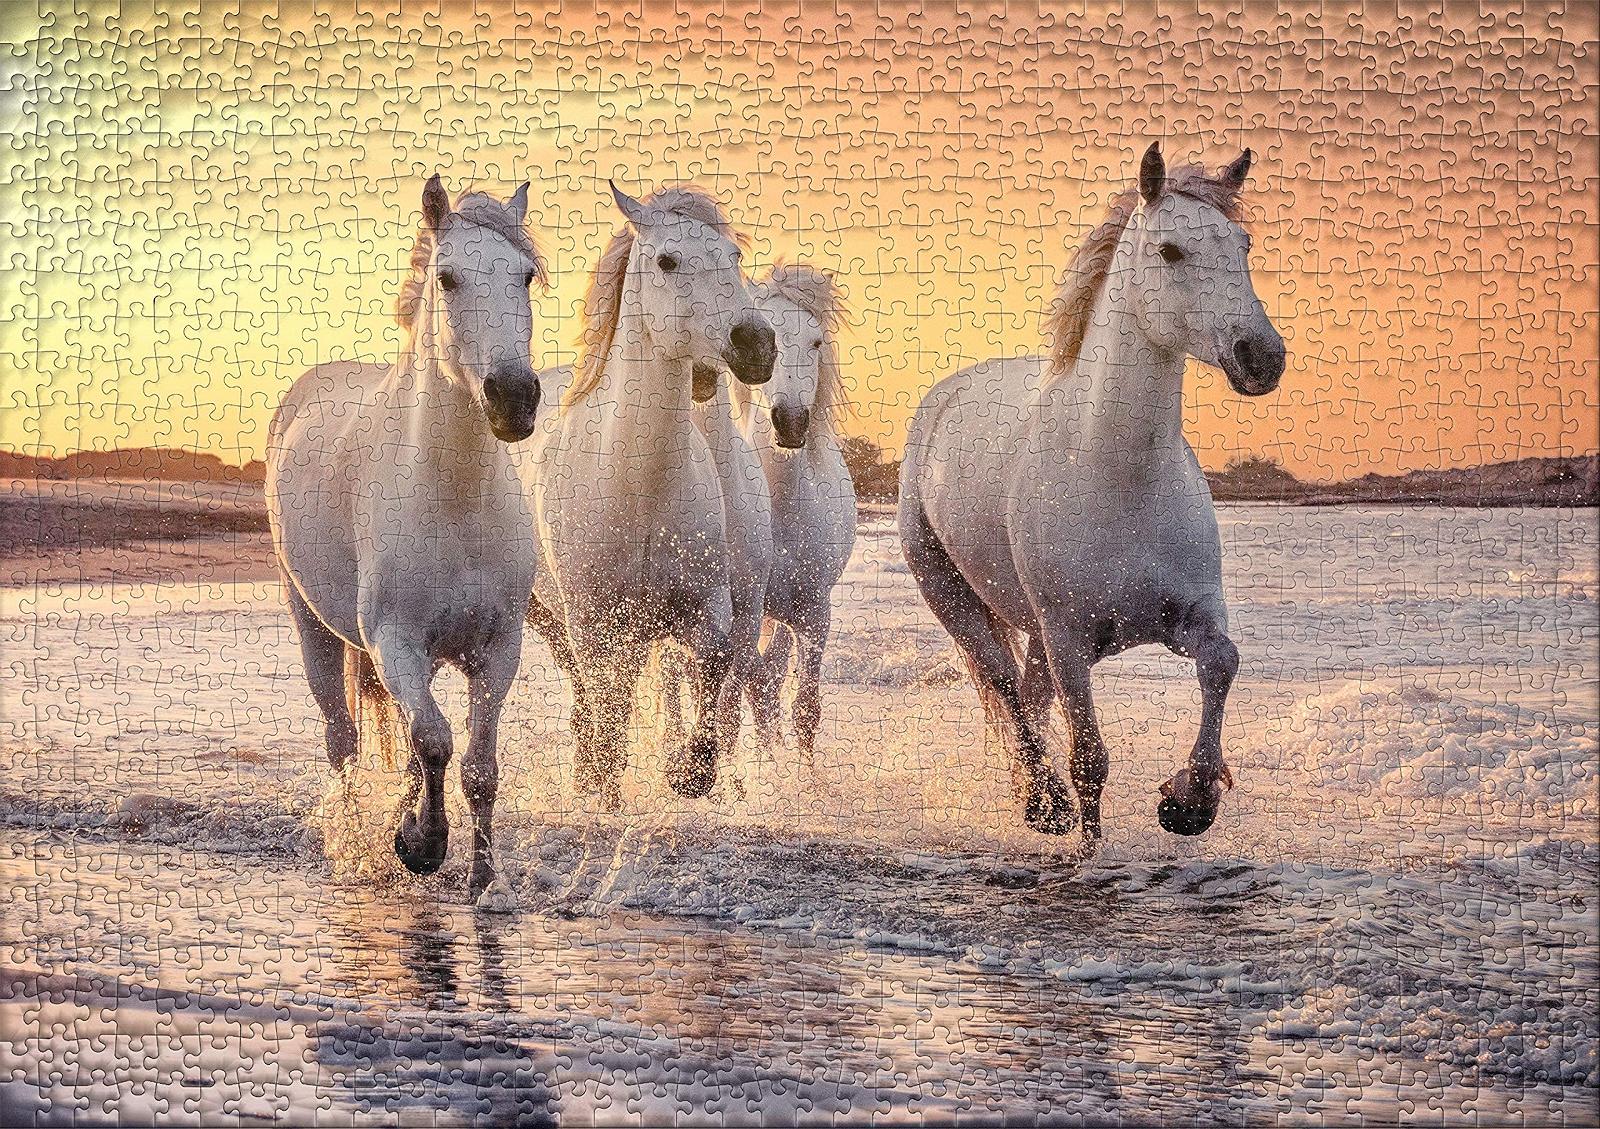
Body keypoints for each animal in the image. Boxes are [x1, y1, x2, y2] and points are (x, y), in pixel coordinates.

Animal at [266, 176, 547, 901]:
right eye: (447, 277)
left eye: (526, 275)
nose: (513, 397)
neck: (452, 496)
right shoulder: (394, 641)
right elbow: (435, 741)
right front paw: (420, 843)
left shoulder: (497, 650)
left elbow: (476, 764)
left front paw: (482, 879)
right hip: (314, 627)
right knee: (343, 742)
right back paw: (358, 844)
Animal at [524, 182, 776, 811]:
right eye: (667, 261)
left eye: (734, 256)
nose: (757, 344)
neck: (638, 485)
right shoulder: (593, 622)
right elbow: (608, 709)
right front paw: (608, 790)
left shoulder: (708, 610)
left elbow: (710, 684)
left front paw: (687, 772)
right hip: (553, 619)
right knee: (588, 696)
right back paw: (589, 778)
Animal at [898, 144, 1286, 842]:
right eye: (1169, 251)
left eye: (1243, 243)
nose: (1261, 356)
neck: (1118, 477)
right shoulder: (1070, 640)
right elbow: (1090, 761)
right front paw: (1090, 842)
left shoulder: (1189, 616)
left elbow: (1223, 662)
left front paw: (1189, 801)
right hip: (952, 596)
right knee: (1006, 685)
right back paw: (1042, 801)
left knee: (1027, 693)